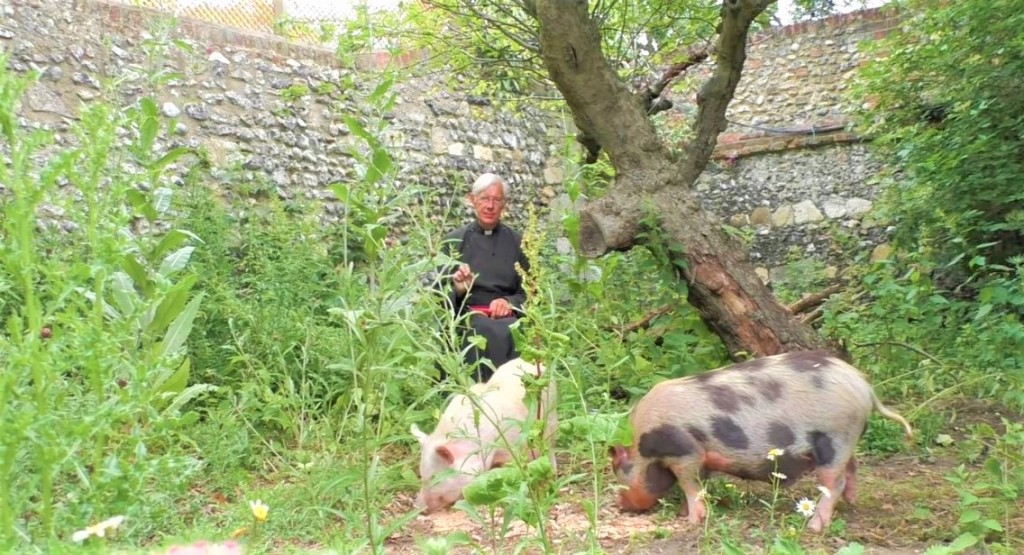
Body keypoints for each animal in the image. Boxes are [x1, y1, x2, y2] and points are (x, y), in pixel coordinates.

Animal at [606, 352, 913, 536]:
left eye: (619, 472)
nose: (619, 504)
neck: (644, 447)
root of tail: (864, 386)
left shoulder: (685, 453)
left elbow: (690, 486)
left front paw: (691, 522)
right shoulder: (702, 460)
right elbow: (697, 486)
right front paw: (684, 514)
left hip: (835, 438)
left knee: (832, 483)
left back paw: (814, 527)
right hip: (846, 440)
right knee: (853, 466)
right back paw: (851, 501)